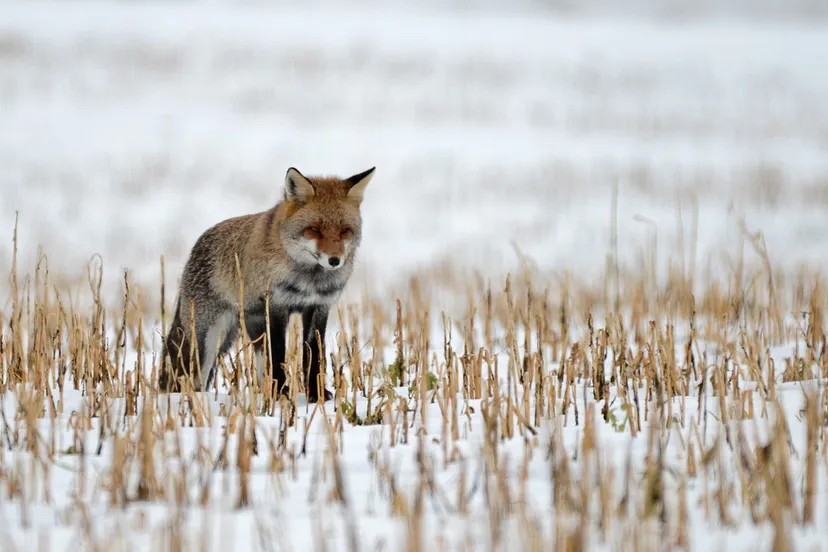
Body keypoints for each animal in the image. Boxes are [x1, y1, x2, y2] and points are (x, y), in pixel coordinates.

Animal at [158, 165, 376, 403]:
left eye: (344, 230)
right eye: (314, 229)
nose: (335, 261)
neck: (310, 280)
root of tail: (198, 243)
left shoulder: (318, 307)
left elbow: (313, 355)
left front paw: (316, 395)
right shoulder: (276, 306)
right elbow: (279, 353)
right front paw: (282, 394)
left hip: (250, 331)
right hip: (210, 339)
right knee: (194, 377)